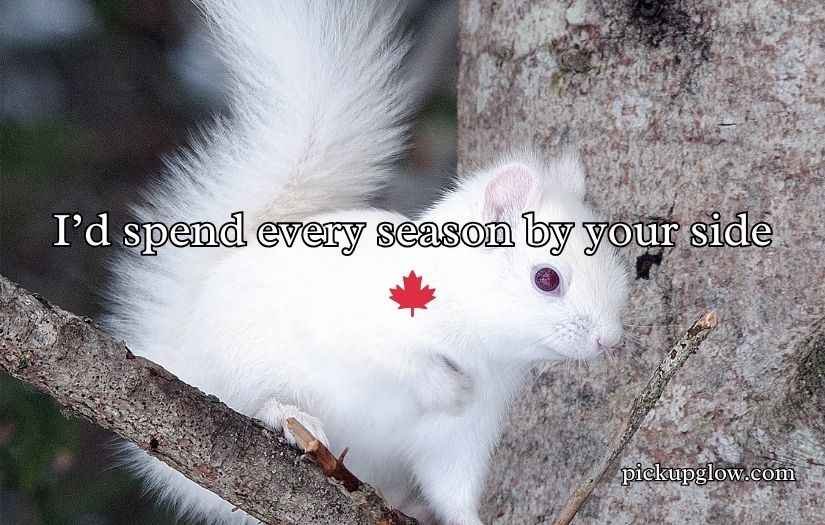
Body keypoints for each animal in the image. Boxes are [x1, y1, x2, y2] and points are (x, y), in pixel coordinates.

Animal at [102, 1, 630, 524]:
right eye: (547, 278)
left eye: (617, 265)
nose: (609, 341)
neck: (480, 345)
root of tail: (178, 344)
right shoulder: (357, 320)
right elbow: (393, 357)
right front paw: (443, 386)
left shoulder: (463, 435)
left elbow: (453, 490)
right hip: (239, 366)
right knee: (254, 399)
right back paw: (289, 417)